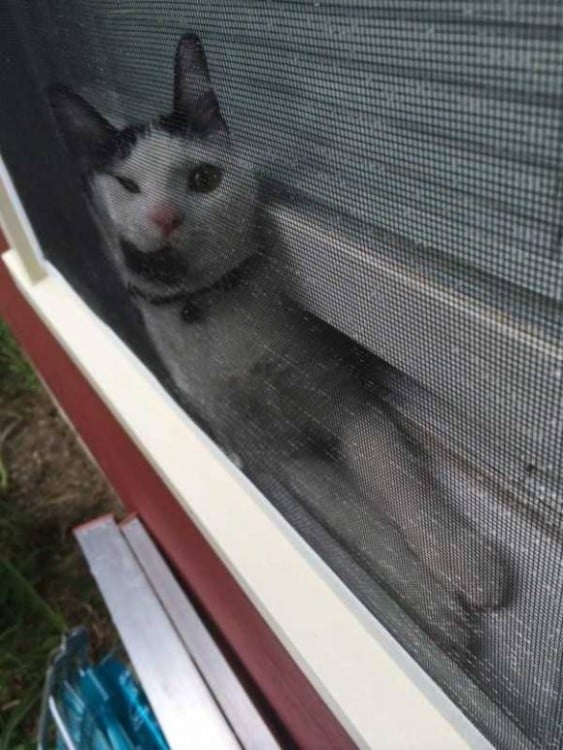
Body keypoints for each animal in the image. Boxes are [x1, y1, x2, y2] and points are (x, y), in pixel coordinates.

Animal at [50, 33, 512, 656]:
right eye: (126, 186)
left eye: (203, 178)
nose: (165, 218)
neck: (215, 311)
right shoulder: (287, 456)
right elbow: (363, 524)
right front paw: (436, 608)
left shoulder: (349, 404)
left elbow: (400, 485)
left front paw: (465, 565)